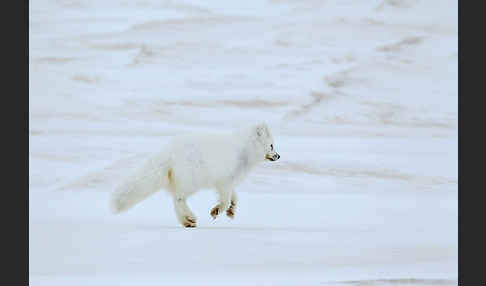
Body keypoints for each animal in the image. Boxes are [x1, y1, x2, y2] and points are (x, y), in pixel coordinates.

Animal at [108, 123, 280, 228]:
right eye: (271, 145)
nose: (278, 156)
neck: (244, 150)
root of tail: (169, 152)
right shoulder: (224, 180)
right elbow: (224, 200)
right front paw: (216, 211)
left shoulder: (228, 182)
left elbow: (234, 197)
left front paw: (231, 211)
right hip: (191, 180)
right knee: (178, 198)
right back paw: (190, 218)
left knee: (175, 199)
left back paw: (187, 222)